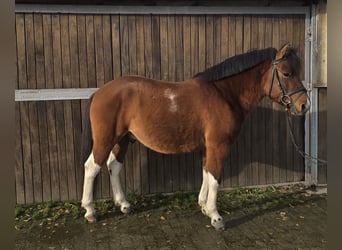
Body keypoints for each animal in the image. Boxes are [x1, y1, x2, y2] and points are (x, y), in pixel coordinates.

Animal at [81, 44, 310, 230]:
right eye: (286, 73)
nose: (304, 105)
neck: (224, 95)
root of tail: (99, 92)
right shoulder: (219, 146)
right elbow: (215, 178)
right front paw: (216, 217)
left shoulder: (208, 147)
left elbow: (206, 173)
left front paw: (204, 207)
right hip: (105, 139)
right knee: (92, 167)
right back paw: (90, 211)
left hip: (121, 139)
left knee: (113, 166)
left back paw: (124, 205)